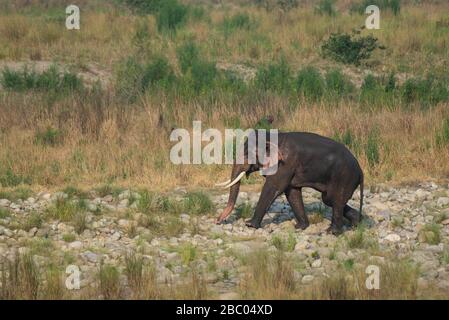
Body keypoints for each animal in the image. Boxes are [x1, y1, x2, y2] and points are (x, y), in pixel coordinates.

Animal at [215, 131, 366, 235]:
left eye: (247, 154)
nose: (218, 220)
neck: (275, 136)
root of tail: (361, 172)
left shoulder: (286, 164)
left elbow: (273, 187)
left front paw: (250, 225)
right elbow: (292, 192)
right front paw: (300, 227)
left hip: (344, 177)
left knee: (334, 199)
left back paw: (332, 232)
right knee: (330, 200)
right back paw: (357, 223)